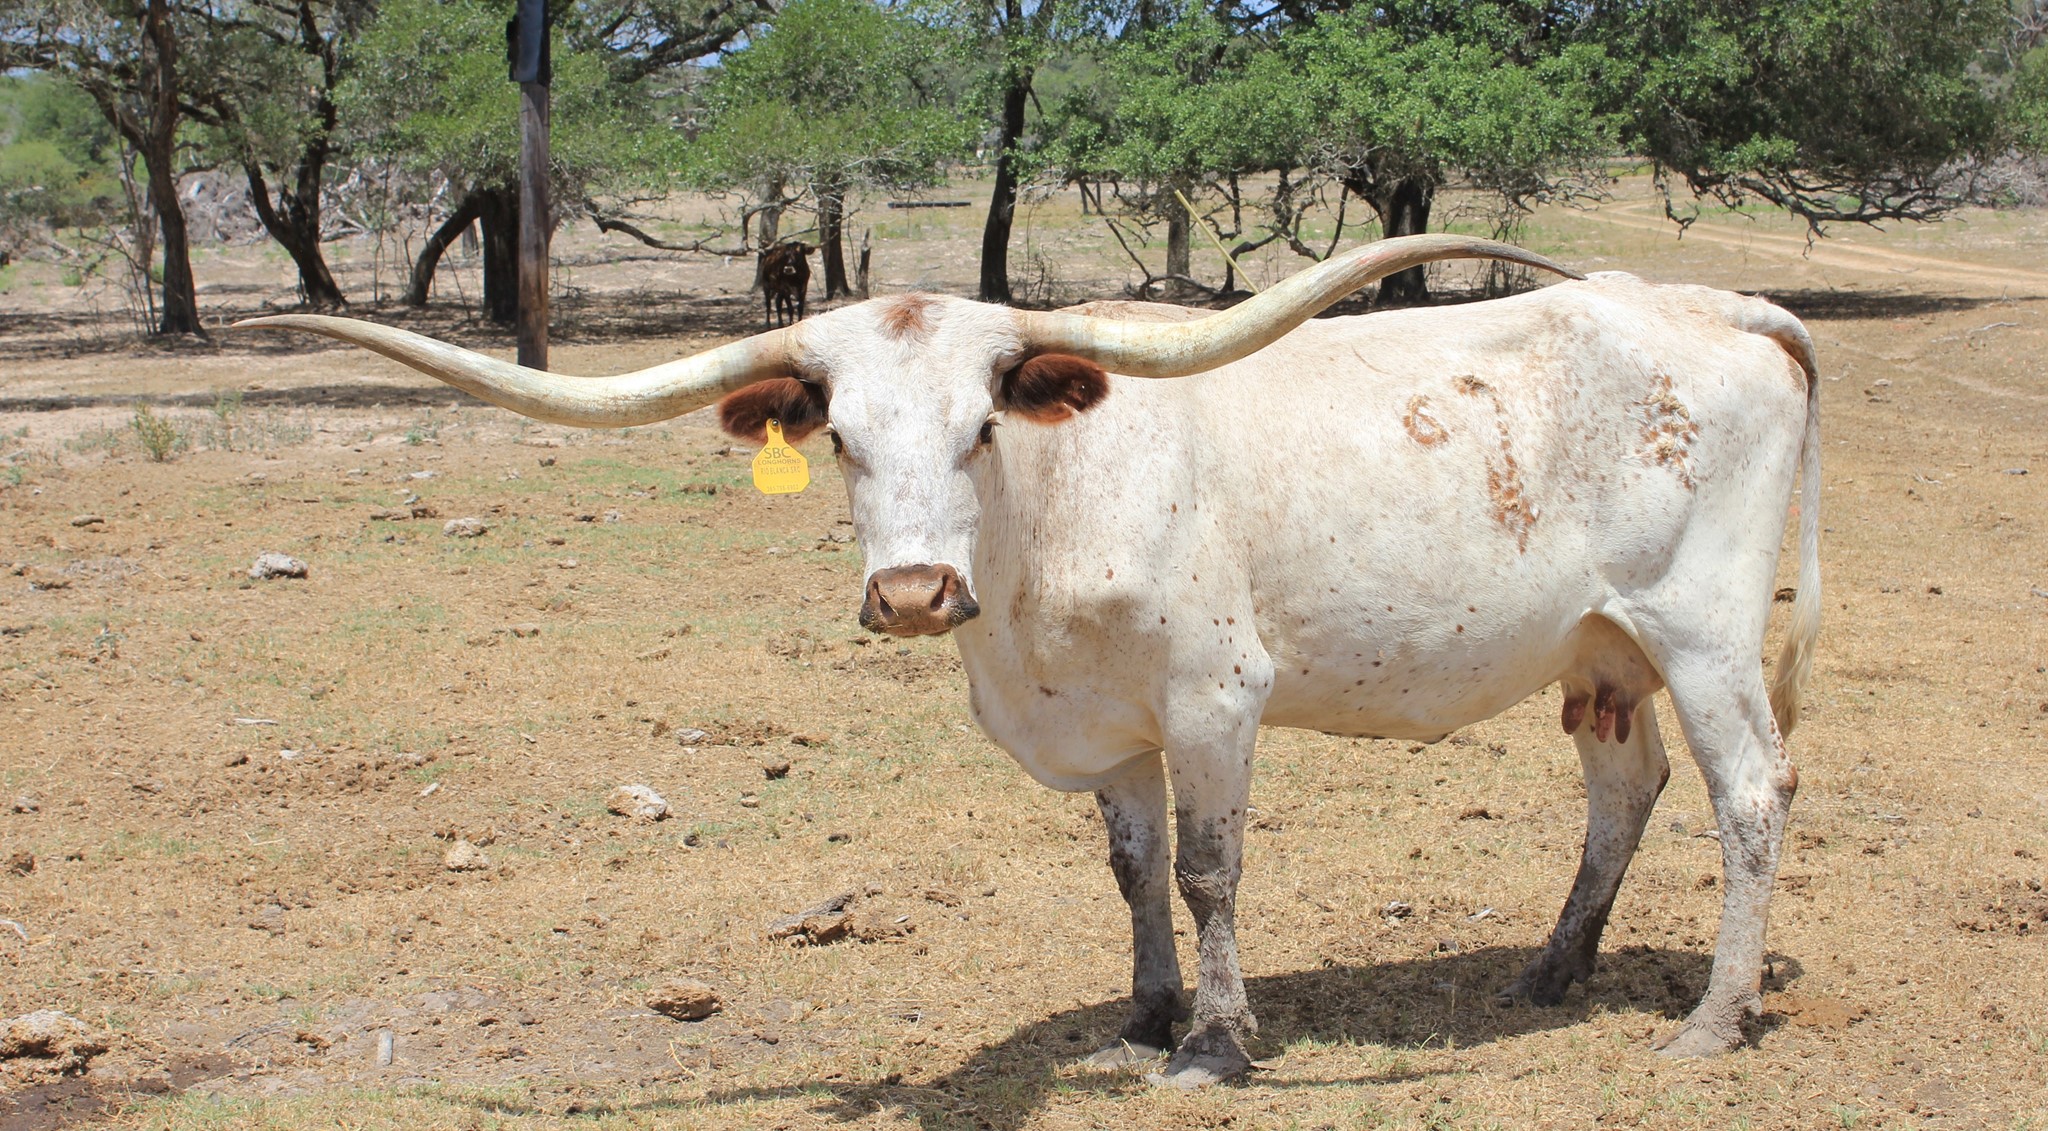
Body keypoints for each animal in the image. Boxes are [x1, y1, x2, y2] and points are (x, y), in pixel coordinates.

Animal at [238, 234, 1821, 1087]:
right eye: (838, 439)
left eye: (981, 426)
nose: (912, 593)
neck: (1048, 527)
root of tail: (1710, 304)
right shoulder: (1104, 728)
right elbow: (1132, 871)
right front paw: (1142, 1014)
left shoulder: (1215, 701)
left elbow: (1209, 871)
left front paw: (1215, 1042)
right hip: (1602, 646)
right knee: (1624, 790)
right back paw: (1552, 969)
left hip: (1704, 629)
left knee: (1751, 796)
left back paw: (1712, 1017)